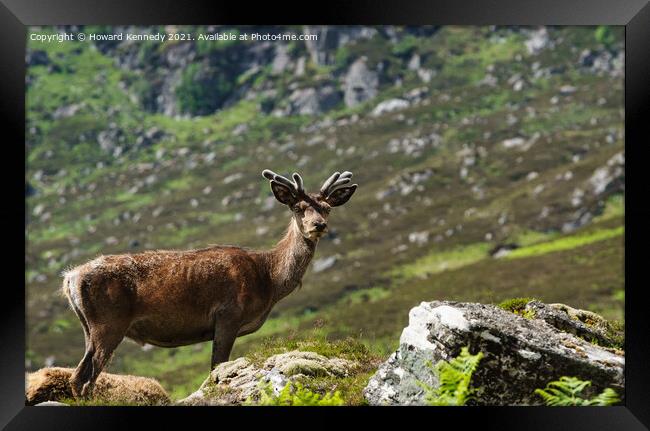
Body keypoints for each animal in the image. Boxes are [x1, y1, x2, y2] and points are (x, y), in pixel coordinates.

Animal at [59, 170, 360, 400]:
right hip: (109, 323)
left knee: (79, 376)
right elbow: (218, 366)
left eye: (327, 208)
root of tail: (70, 278)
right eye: (298, 208)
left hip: (89, 327)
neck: (268, 278)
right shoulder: (228, 314)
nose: (319, 225)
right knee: (84, 378)